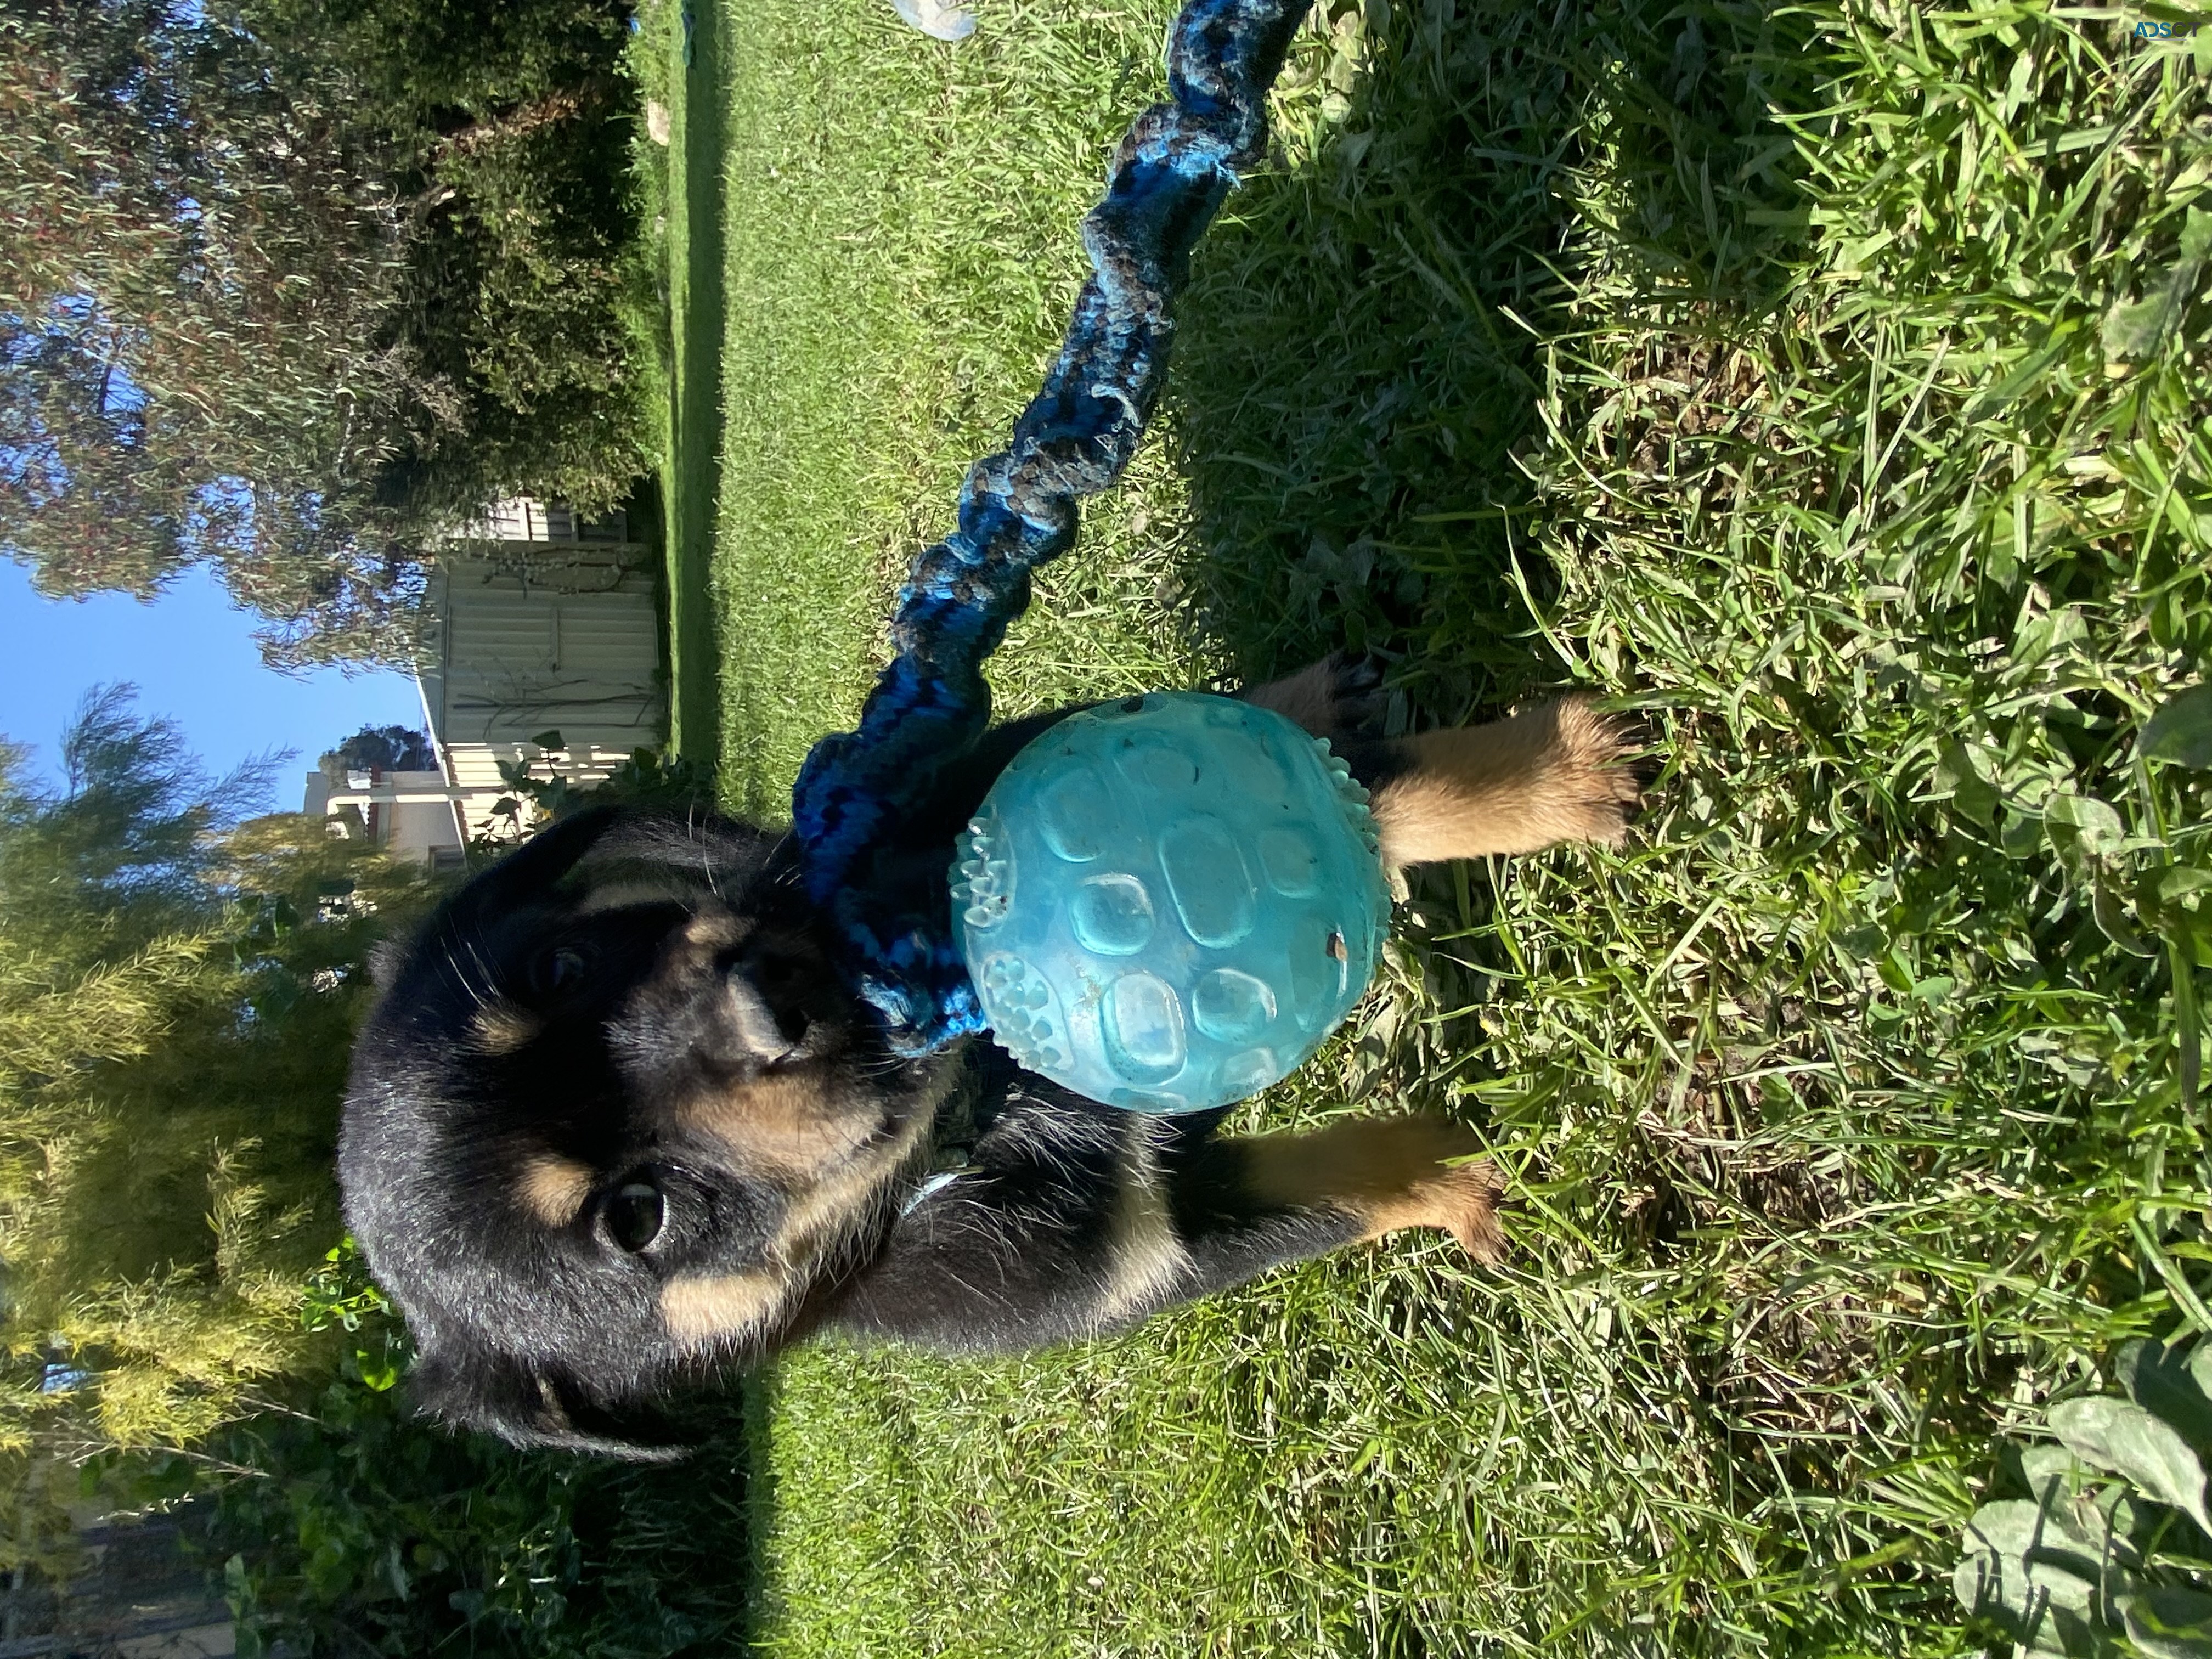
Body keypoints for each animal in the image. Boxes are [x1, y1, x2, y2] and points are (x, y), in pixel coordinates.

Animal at [331, 663, 1645, 1451]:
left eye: (561, 966)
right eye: (634, 1218)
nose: (767, 997)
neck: (974, 1101)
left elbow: (1391, 803)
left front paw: (1561, 778)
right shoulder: (1137, 1248)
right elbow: (1334, 1198)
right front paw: (1454, 1182)